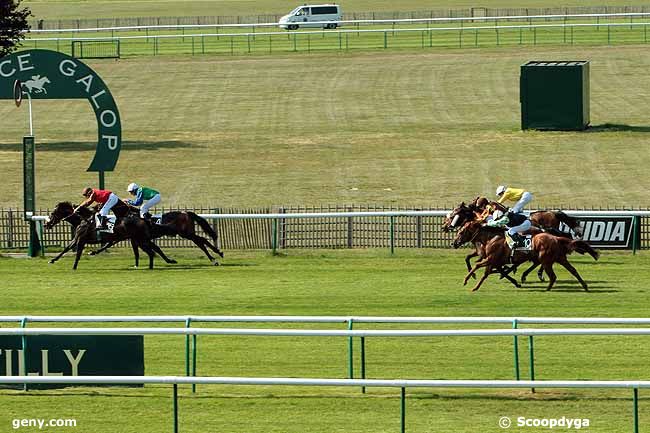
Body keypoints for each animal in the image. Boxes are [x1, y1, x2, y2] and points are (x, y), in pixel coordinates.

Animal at [44, 201, 177, 268]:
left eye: (53, 213)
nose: (46, 224)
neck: (82, 219)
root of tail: (142, 219)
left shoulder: (81, 240)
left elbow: (77, 254)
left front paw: (74, 267)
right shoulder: (77, 239)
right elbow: (66, 248)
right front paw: (53, 260)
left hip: (140, 239)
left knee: (152, 251)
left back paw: (151, 266)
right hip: (138, 239)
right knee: (153, 250)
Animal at [456, 221, 596, 292]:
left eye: (461, 232)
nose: (454, 243)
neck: (492, 238)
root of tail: (556, 238)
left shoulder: (491, 259)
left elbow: (478, 266)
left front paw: (468, 281)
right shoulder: (494, 261)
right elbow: (489, 272)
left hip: (546, 260)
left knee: (552, 275)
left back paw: (546, 288)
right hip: (560, 258)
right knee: (573, 270)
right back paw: (585, 286)